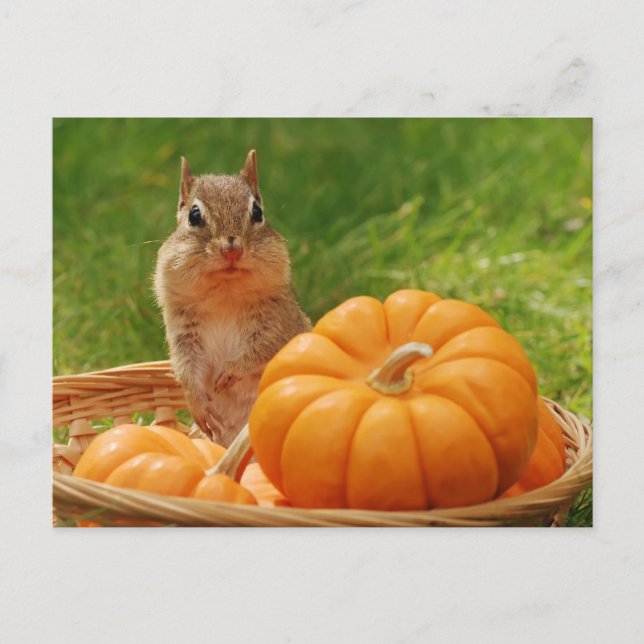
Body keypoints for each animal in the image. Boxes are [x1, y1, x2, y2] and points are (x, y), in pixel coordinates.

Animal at [154, 150, 311, 447]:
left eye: (257, 212)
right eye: (194, 215)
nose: (232, 249)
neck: (224, 294)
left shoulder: (279, 322)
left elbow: (263, 347)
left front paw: (230, 371)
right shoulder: (182, 331)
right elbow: (186, 369)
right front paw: (198, 405)